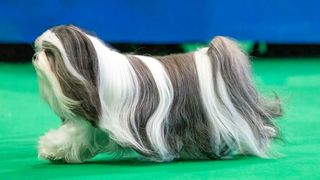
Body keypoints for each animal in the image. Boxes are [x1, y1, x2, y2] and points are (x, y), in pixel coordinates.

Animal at [32, 25, 282, 163]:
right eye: (40, 49)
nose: (35, 56)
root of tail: (209, 58)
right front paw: (55, 151)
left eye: (50, 53)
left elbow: (72, 134)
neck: (96, 74)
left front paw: (50, 149)